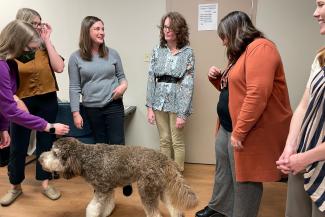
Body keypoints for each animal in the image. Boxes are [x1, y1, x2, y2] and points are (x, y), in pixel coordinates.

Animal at [40, 137, 197, 217]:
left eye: (55, 153)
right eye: (51, 150)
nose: (40, 159)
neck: (86, 157)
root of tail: (164, 158)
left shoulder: (101, 190)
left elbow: (92, 209)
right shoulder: (107, 190)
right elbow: (107, 205)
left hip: (147, 192)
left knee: (155, 214)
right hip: (162, 190)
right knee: (175, 209)